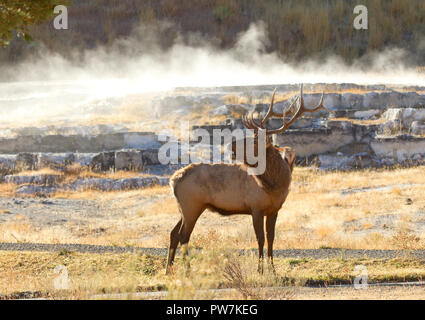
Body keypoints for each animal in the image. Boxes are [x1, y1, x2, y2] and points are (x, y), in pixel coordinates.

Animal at [166, 84, 328, 272]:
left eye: (255, 140)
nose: (231, 145)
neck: (274, 186)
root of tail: (173, 180)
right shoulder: (255, 207)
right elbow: (260, 238)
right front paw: (260, 270)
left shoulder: (274, 209)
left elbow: (271, 237)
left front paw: (273, 270)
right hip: (192, 205)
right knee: (184, 235)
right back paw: (187, 271)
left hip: (185, 208)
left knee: (174, 233)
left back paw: (168, 270)